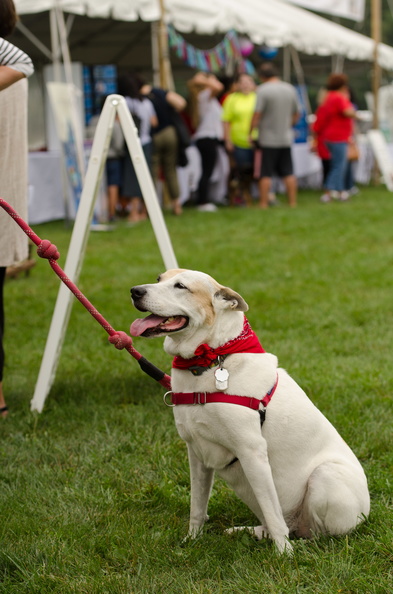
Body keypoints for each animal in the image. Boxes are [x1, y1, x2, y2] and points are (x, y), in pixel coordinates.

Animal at [130, 270, 370, 552]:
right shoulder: (197, 453)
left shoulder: (252, 452)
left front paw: (284, 555)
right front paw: (191, 541)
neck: (210, 360)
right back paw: (247, 532)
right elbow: (197, 507)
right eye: (159, 278)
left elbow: (273, 515)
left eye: (181, 286)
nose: (135, 291)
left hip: (325, 476)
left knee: (312, 534)